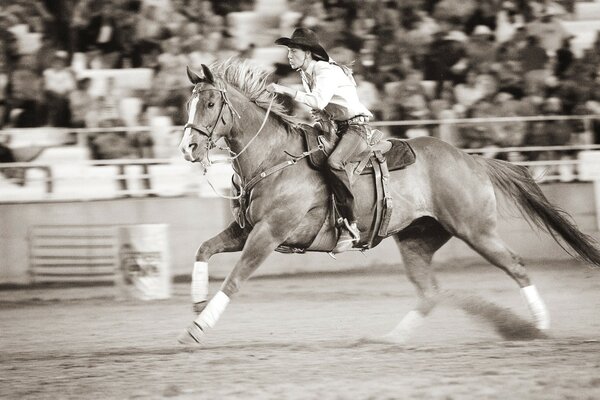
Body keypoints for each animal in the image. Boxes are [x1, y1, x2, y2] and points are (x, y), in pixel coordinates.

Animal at [177, 57, 600, 346]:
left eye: (211, 104)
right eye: (189, 104)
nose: (188, 148)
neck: (276, 158)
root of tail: (472, 160)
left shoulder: (268, 233)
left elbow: (235, 279)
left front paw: (197, 327)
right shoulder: (245, 229)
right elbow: (203, 249)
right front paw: (196, 303)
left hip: (475, 230)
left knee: (516, 266)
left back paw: (540, 326)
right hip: (417, 239)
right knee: (429, 292)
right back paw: (391, 339)